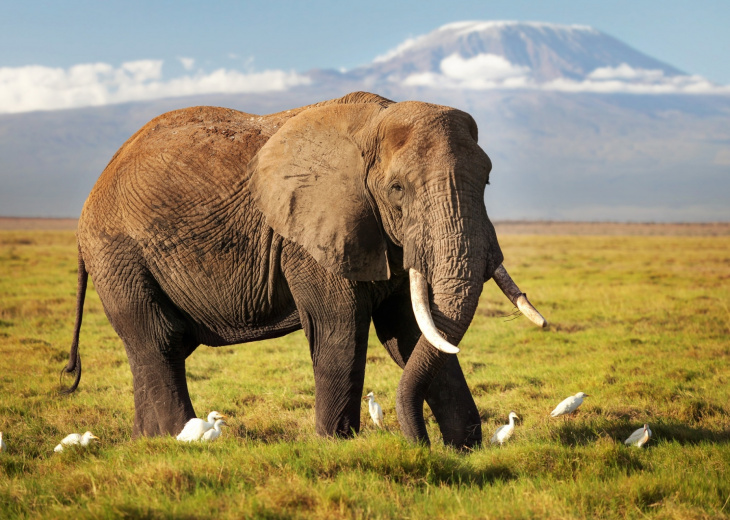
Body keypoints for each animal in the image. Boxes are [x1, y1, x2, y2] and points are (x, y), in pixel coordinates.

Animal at [61, 91, 540, 448]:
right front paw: (337, 447)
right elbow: (340, 327)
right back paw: (171, 439)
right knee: (157, 340)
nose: (418, 442)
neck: (374, 124)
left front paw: (464, 450)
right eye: (397, 189)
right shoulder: (310, 237)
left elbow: (411, 329)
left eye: (487, 181)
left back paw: (147, 440)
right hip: (119, 254)